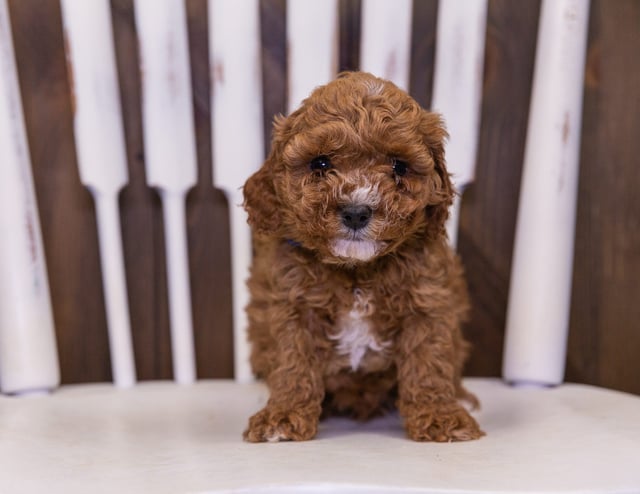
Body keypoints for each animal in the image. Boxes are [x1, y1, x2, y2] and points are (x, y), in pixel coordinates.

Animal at [242, 71, 482, 442]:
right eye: (320, 163)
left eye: (399, 166)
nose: (356, 212)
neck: (357, 270)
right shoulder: (293, 307)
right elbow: (293, 362)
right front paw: (282, 416)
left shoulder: (428, 302)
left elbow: (429, 361)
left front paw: (440, 415)